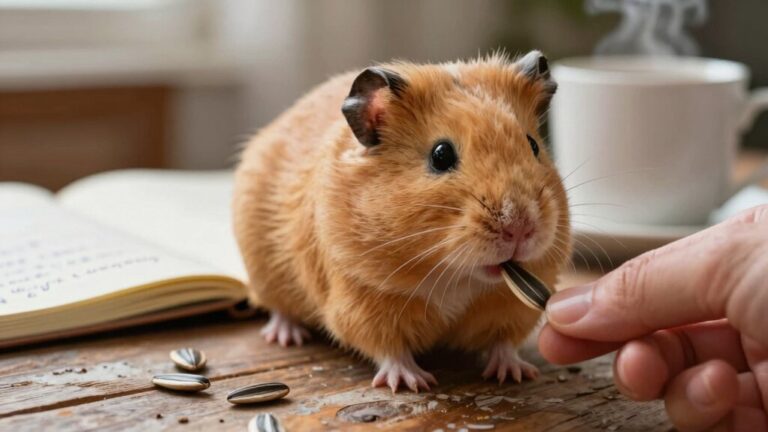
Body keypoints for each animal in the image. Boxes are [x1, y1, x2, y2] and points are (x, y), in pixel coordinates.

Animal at [233, 50, 571, 392]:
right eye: (441, 155)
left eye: (533, 145)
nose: (520, 227)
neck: (454, 276)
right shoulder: (363, 302)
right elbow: (389, 349)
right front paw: (413, 383)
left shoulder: (511, 309)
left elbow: (504, 343)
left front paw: (516, 373)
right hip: (264, 272)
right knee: (278, 309)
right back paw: (286, 337)